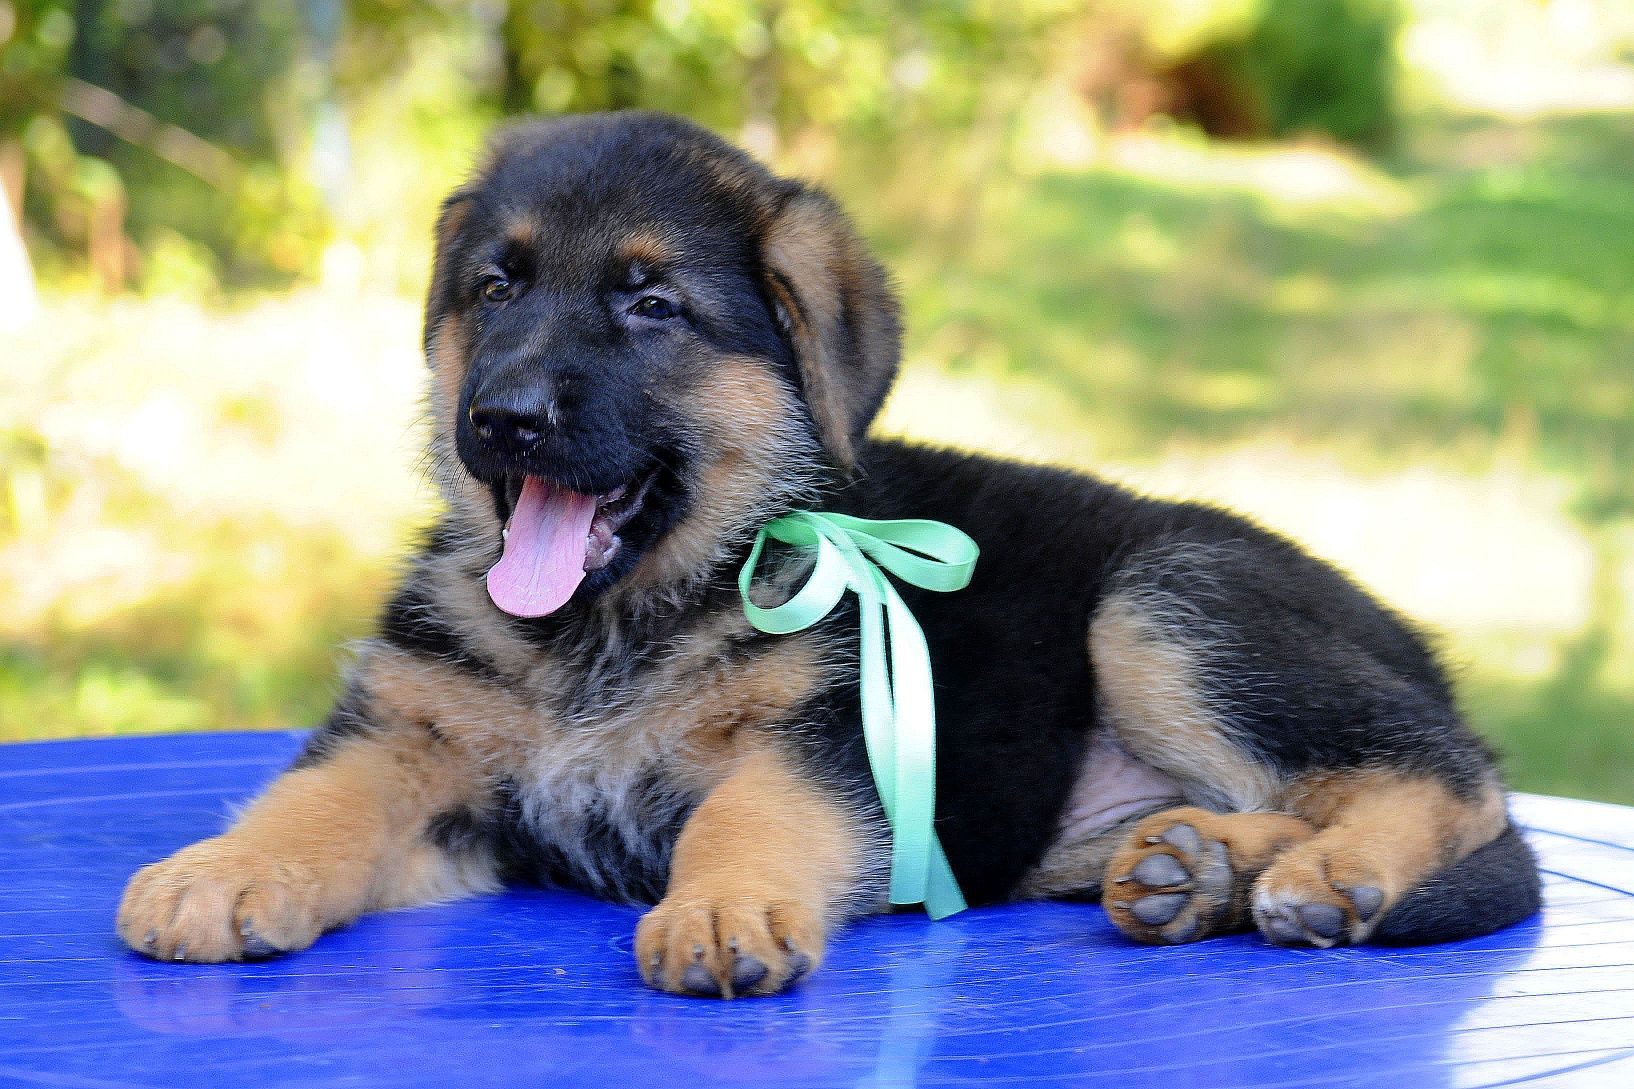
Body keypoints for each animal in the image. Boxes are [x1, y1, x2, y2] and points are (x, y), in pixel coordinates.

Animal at [120, 110, 1535, 994]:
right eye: (495, 288)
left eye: (650, 305)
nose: (502, 418)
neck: (611, 628)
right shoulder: (415, 743)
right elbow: (315, 802)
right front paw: (221, 875)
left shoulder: (822, 740)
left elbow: (746, 817)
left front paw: (719, 908)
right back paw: (1198, 870)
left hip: (1163, 599)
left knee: (1447, 774)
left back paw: (1330, 873)